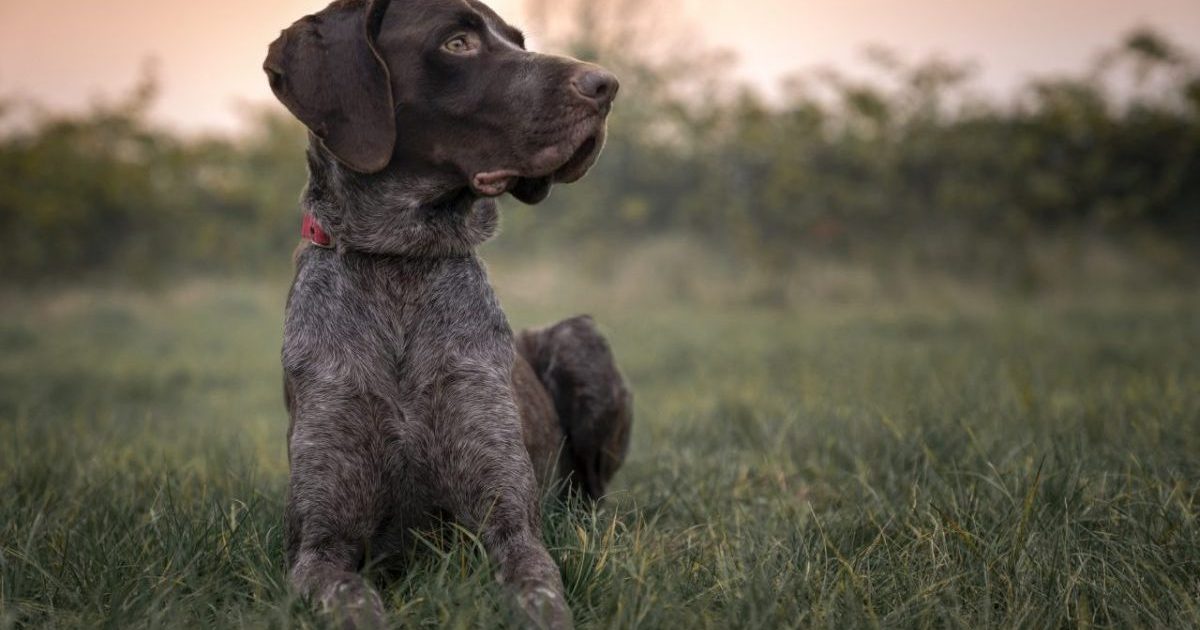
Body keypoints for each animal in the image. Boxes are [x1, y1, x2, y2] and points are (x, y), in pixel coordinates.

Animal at [264, 0, 633, 624]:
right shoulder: (319, 547)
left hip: (578, 340)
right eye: (458, 43)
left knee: (593, 498)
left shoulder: (512, 528)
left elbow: (541, 595)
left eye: (517, 42)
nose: (605, 84)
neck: (400, 264)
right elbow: (355, 602)